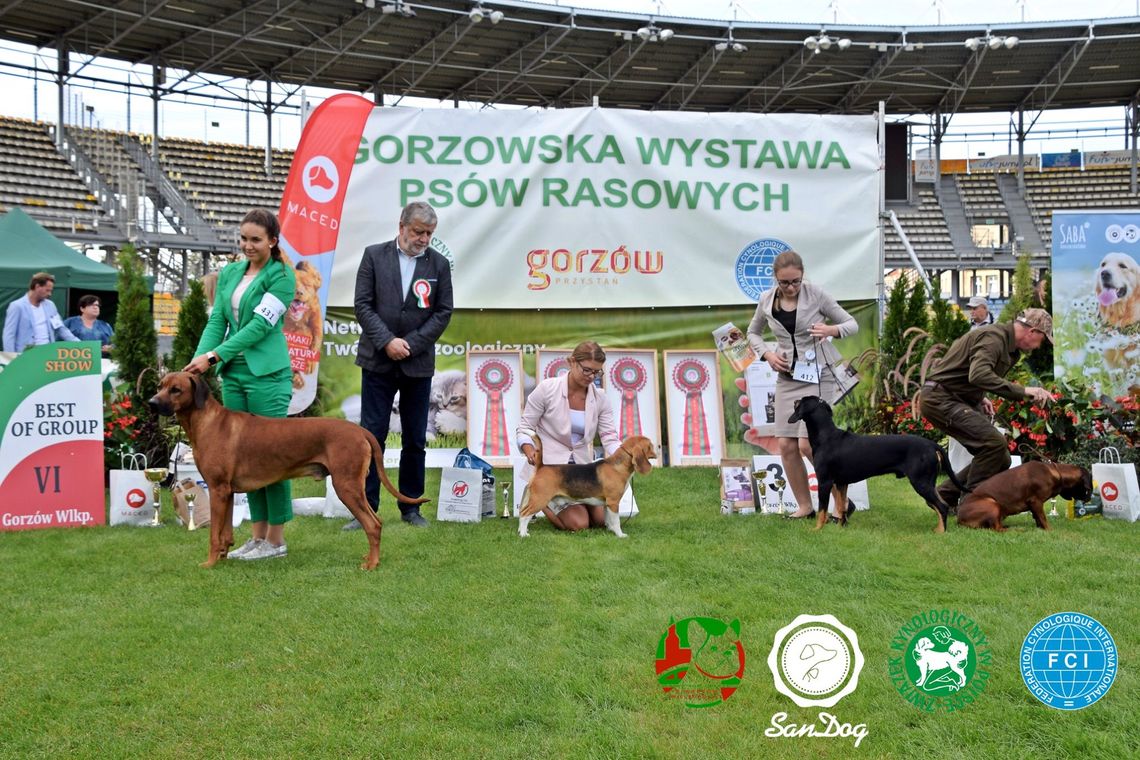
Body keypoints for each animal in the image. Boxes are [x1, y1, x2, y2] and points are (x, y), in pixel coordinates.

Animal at [147, 371, 424, 567]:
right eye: (159, 386)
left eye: (176, 389)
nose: (151, 403)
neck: (207, 421)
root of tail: (360, 430)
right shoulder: (225, 491)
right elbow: (224, 532)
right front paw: (223, 557)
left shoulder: (217, 489)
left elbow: (214, 534)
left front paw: (210, 562)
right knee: (375, 522)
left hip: (346, 485)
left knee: (373, 524)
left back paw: (372, 564)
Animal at [519, 437, 656, 537]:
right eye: (650, 445)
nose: (658, 451)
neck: (617, 466)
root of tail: (541, 466)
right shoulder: (613, 503)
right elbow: (616, 521)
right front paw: (620, 535)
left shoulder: (607, 504)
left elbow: (609, 520)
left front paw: (610, 531)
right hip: (540, 500)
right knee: (525, 515)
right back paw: (523, 534)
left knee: (522, 514)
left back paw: (522, 532)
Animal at [788, 398, 966, 535]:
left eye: (798, 402)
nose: (794, 401)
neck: (826, 436)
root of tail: (932, 445)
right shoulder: (841, 483)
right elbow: (841, 505)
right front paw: (840, 528)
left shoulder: (825, 481)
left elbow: (822, 509)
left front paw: (817, 529)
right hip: (928, 483)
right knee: (941, 505)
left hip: (921, 483)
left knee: (942, 506)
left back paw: (941, 532)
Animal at [953, 460, 1094, 533]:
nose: (1088, 499)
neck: (1056, 472)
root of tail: (959, 519)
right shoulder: (1036, 502)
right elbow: (1043, 518)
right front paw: (1049, 530)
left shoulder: (1034, 506)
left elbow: (1037, 518)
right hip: (993, 504)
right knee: (997, 529)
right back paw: (1016, 529)